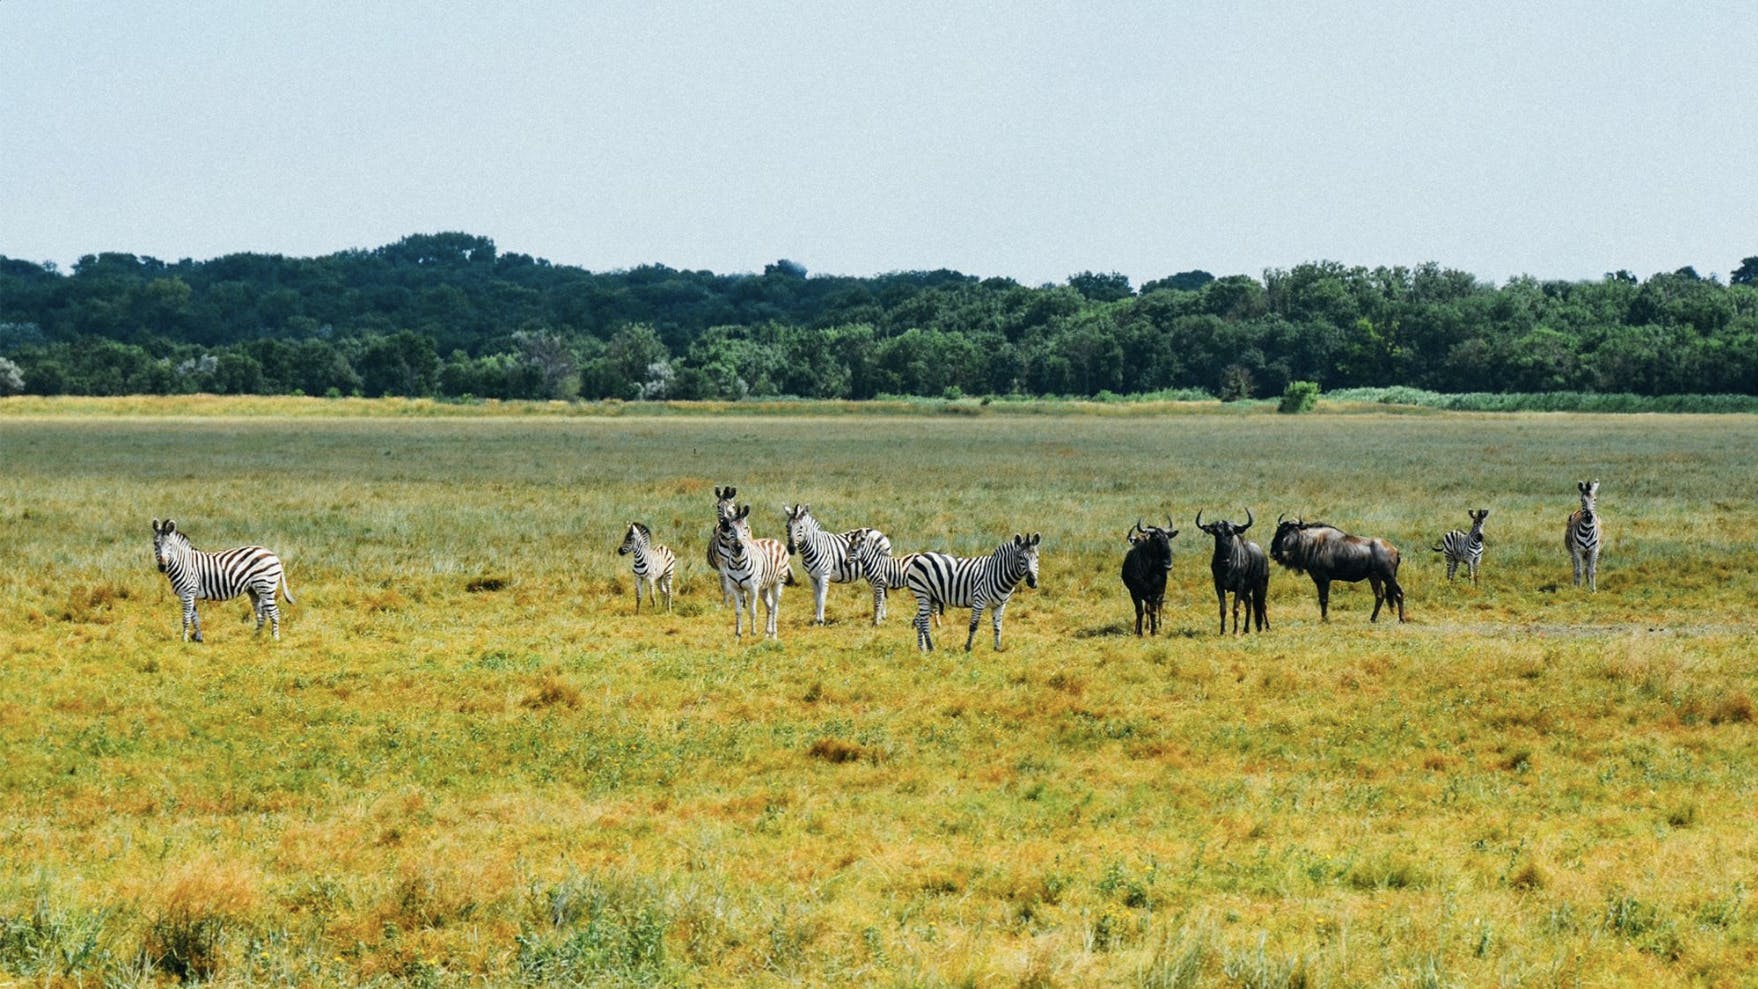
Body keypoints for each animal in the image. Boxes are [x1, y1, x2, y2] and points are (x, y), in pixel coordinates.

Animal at [151, 516, 295, 646]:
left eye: (170, 545)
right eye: (155, 543)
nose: (162, 566)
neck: (184, 563)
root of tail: (273, 555)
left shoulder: (187, 593)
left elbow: (186, 618)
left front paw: (184, 640)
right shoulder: (190, 595)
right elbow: (195, 618)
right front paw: (199, 639)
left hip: (266, 586)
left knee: (274, 613)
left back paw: (275, 639)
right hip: (254, 590)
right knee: (261, 614)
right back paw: (255, 638)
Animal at [717, 502, 794, 642]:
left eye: (745, 528)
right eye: (730, 528)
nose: (738, 547)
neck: (737, 563)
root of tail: (773, 540)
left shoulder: (752, 589)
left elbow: (752, 611)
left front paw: (753, 633)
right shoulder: (735, 588)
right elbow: (738, 611)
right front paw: (738, 634)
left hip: (778, 582)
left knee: (775, 608)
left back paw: (774, 635)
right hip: (763, 587)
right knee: (769, 606)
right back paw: (767, 633)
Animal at [907, 530, 1040, 653]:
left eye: (1037, 557)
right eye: (1020, 558)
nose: (1032, 581)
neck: (997, 572)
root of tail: (921, 556)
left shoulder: (1000, 605)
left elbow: (998, 626)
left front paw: (997, 648)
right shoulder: (979, 601)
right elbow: (973, 625)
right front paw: (968, 648)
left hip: (932, 597)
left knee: (919, 620)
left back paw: (922, 648)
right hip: (922, 592)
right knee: (924, 621)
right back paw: (931, 648)